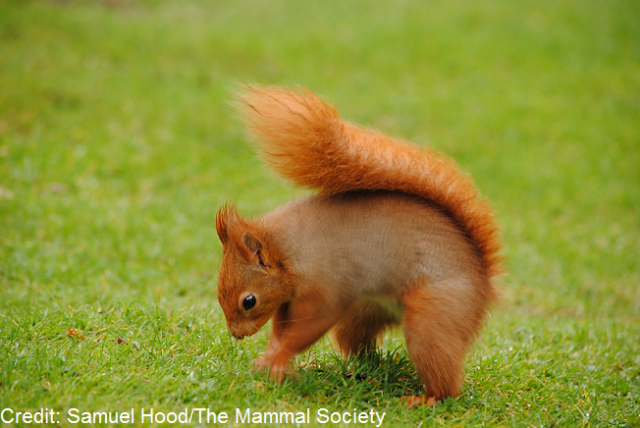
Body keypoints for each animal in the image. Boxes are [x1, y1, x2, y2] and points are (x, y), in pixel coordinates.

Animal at [218, 85, 502, 406]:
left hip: (433, 320)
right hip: (363, 313)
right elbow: (281, 328)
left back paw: (424, 399)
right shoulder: (287, 298)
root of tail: (483, 278)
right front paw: (270, 360)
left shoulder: (326, 288)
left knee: (443, 377)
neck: (290, 249)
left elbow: (307, 327)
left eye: (248, 301)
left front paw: (278, 359)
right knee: (360, 347)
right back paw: (351, 369)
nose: (236, 334)